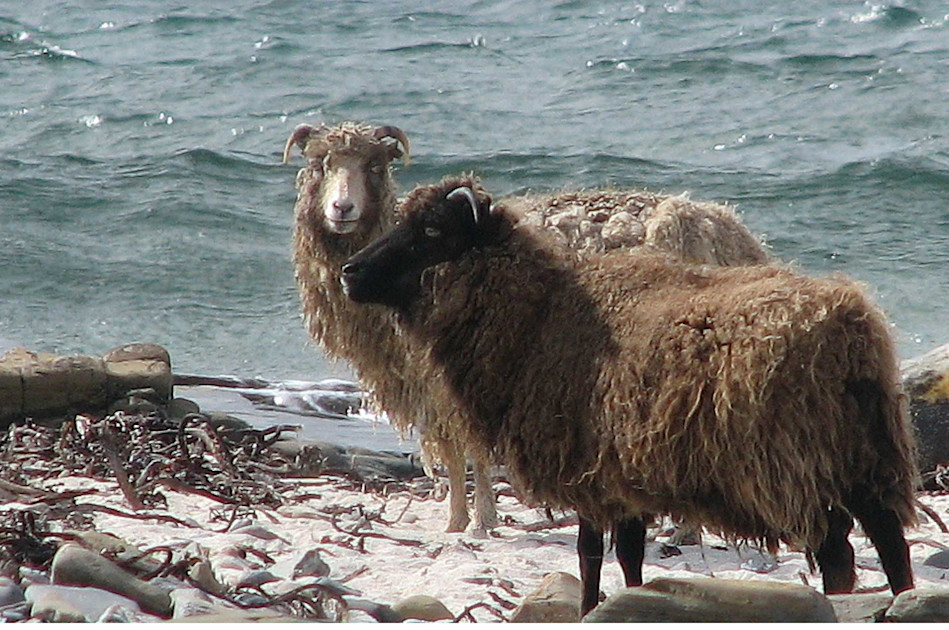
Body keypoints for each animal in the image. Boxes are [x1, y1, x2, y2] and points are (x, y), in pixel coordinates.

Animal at [340, 175, 919, 616]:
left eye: (432, 229)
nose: (350, 272)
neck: (540, 317)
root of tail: (851, 324)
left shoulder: (588, 473)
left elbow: (590, 555)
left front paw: (590, 607)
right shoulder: (623, 476)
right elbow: (632, 558)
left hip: (800, 465)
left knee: (839, 554)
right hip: (867, 458)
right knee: (890, 543)